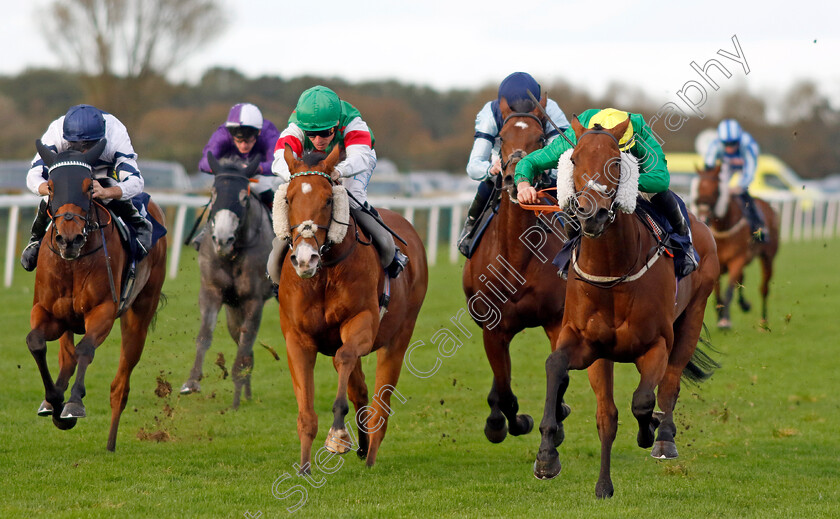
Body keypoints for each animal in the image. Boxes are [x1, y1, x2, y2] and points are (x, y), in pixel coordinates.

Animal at [25, 140, 167, 452]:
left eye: (89, 186)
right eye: (51, 186)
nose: (69, 238)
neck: (72, 263)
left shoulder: (103, 311)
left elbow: (86, 350)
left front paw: (73, 405)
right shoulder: (47, 312)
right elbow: (36, 342)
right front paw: (54, 401)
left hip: (139, 314)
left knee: (120, 384)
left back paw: (111, 442)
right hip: (67, 321)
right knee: (66, 357)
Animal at [181, 152, 276, 408]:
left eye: (243, 197)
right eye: (213, 194)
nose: (222, 239)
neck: (233, 253)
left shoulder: (255, 299)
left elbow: (246, 341)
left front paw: (235, 397)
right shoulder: (211, 292)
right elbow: (205, 335)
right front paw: (191, 382)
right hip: (233, 308)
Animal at [274, 143, 430, 472]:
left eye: (328, 199)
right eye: (288, 199)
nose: (305, 259)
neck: (324, 274)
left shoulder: (362, 322)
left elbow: (345, 358)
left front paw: (337, 435)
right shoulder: (297, 338)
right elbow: (307, 412)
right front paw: (304, 467)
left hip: (398, 337)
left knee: (381, 401)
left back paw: (370, 456)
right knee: (358, 386)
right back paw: (362, 446)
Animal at [460, 98, 572, 446]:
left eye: (540, 138)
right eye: (503, 138)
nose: (511, 178)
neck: (517, 259)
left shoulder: (555, 321)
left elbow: (559, 379)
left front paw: (556, 420)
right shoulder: (493, 329)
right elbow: (504, 389)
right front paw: (507, 422)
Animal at [692, 166, 776, 330]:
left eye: (716, 191)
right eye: (698, 189)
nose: (703, 215)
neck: (723, 227)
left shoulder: (737, 259)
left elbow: (729, 290)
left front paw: (725, 320)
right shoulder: (716, 262)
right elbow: (717, 291)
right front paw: (720, 316)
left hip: (768, 257)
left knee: (764, 288)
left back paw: (763, 321)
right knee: (742, 280)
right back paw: (745, 305)